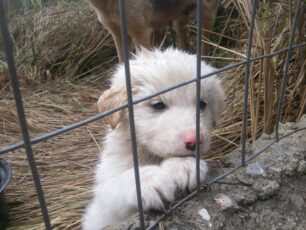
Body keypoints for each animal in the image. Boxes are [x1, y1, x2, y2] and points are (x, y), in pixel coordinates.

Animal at [82, 47, 226, 229]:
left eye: (202, 104)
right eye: (158, 105)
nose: (194, 140)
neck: (150, 155)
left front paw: (183, 165)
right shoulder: (103, 208)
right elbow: (115, 184)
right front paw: (146, 181)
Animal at [86, 0, 220, 62]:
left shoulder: (141, 34)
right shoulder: (117, 34)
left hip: (206, 15)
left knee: (204, 49)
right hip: (180, 20)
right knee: (184, 45)